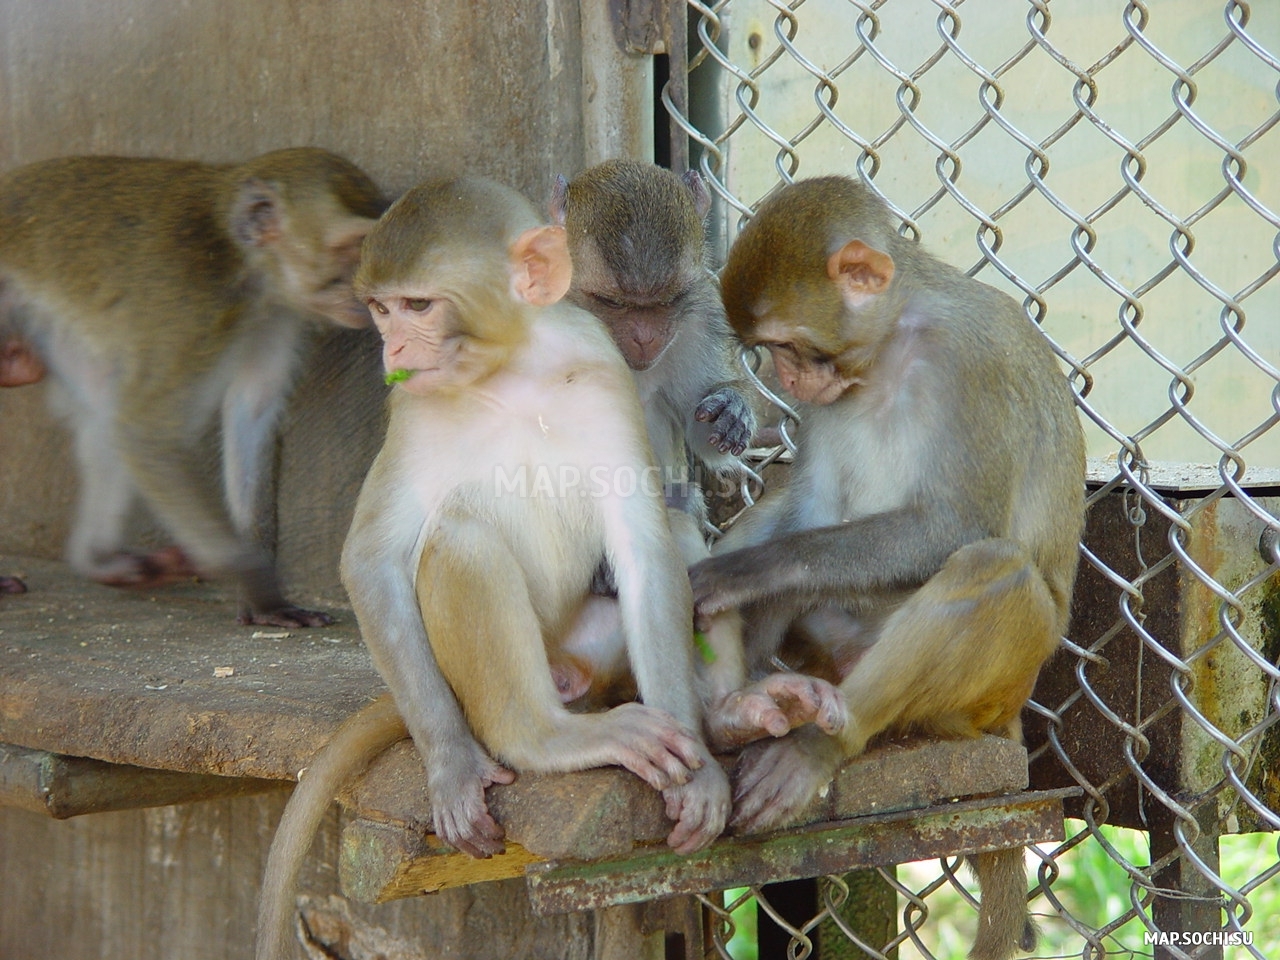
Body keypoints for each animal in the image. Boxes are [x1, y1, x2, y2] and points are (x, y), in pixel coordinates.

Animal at [0, 144, 381, 624]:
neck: (241, 259)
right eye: (350, 248)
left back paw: (100, 561)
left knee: (104, 405)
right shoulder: (192, 301)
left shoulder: (276, 314)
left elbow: (250, 411)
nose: (367, 290)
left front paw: (263, 595)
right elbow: (147, 430)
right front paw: (257, 583)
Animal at [257, 179, 732, 960]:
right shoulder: (411, 404)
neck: (513, 373)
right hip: (475, 677)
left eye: (419, 306)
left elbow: (644, 543)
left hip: (592, 645)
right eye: (382, 309)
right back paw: (543, 737)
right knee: (461, 539)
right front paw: (452, 763)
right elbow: (373, 559)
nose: (391, 344)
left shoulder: (601, 371)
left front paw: (700, 773)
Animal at [696, 176, 1085, 957]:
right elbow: (808, 504)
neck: (894, 340)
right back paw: (743, 711)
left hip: (989, 691)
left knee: (994, 568)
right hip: (833, 646)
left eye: (791, 346)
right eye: (767, 352)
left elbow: (955, 528)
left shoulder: (969, 365)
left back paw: (822, 745)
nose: (786, 376)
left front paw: (753, 572)